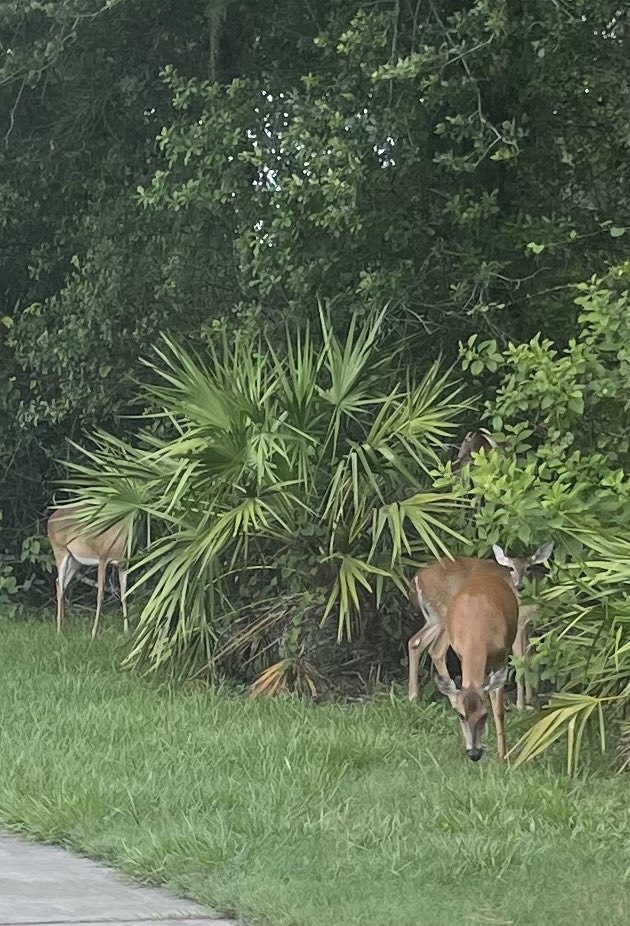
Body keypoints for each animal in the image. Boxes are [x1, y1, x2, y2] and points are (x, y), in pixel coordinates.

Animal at [47, 505, 130, 639]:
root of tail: (50, 519)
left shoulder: (123, 564)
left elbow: (124, 595)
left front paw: (127, 631)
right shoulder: (102, 558)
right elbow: (100, 595)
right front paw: (93, 633)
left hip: (75, 561)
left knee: (60, 582)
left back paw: (63, 627)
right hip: (60, 550)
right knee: (60, 583)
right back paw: (59, 631)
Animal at [407, 542, 553, 761]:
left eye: (528, 567)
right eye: (510, 568)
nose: (518, 586)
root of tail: (416, 578)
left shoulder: (527, 628)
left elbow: (529, 657)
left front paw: (529, 701)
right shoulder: (520, 625)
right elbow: (521, 659)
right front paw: (522, 705)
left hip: (434, 618)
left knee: (415, 642)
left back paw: (413, 698)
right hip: (443, 615)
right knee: (436, 649)